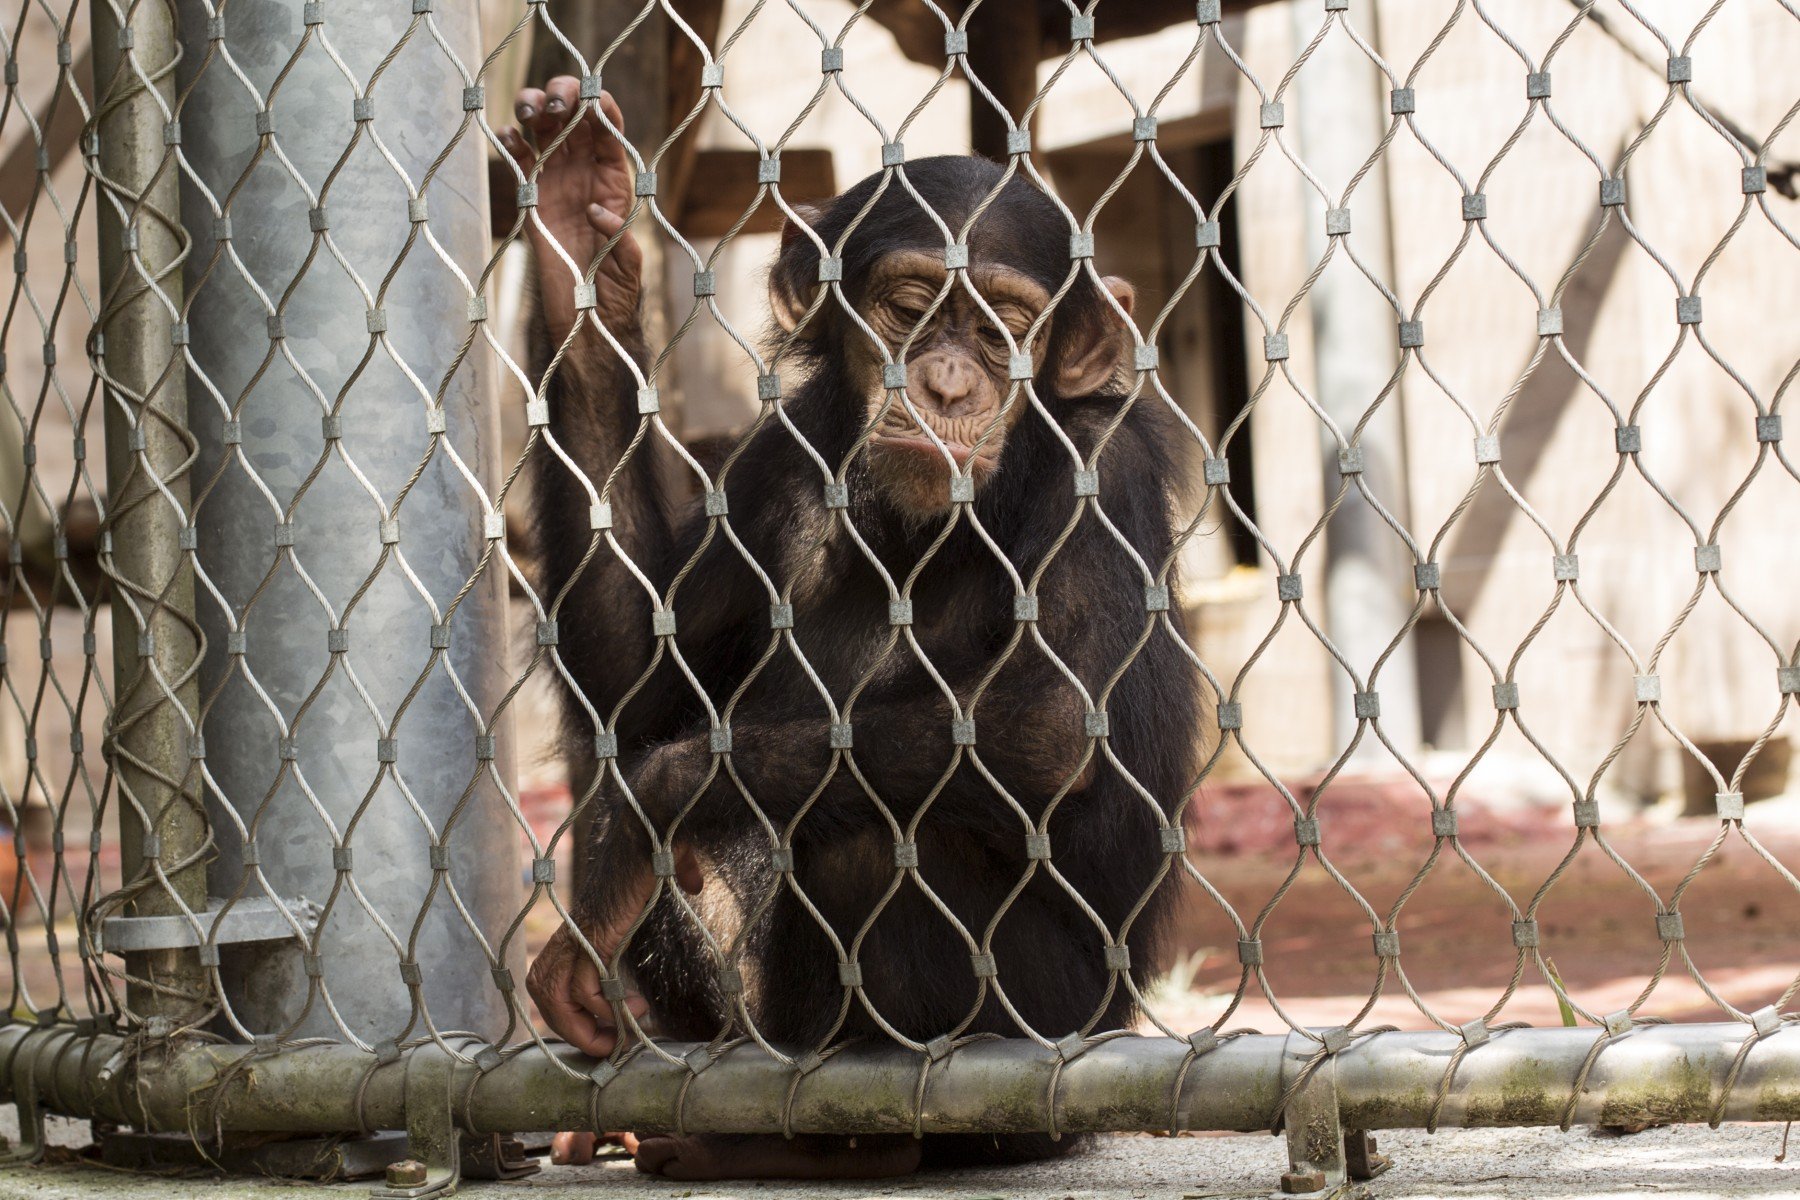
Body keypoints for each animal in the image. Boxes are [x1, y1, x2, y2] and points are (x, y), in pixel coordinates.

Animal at [507, 79, 1202, 1187]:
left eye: (1005, 324)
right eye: (911, 308)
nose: (951, 382)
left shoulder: (1108, 470)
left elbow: (1045, 722)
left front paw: (631, 819)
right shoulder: (776, 466)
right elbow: (641, 683)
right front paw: (579, 236)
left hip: (1056, 1035)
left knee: (867, 851)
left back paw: (842, 1137)